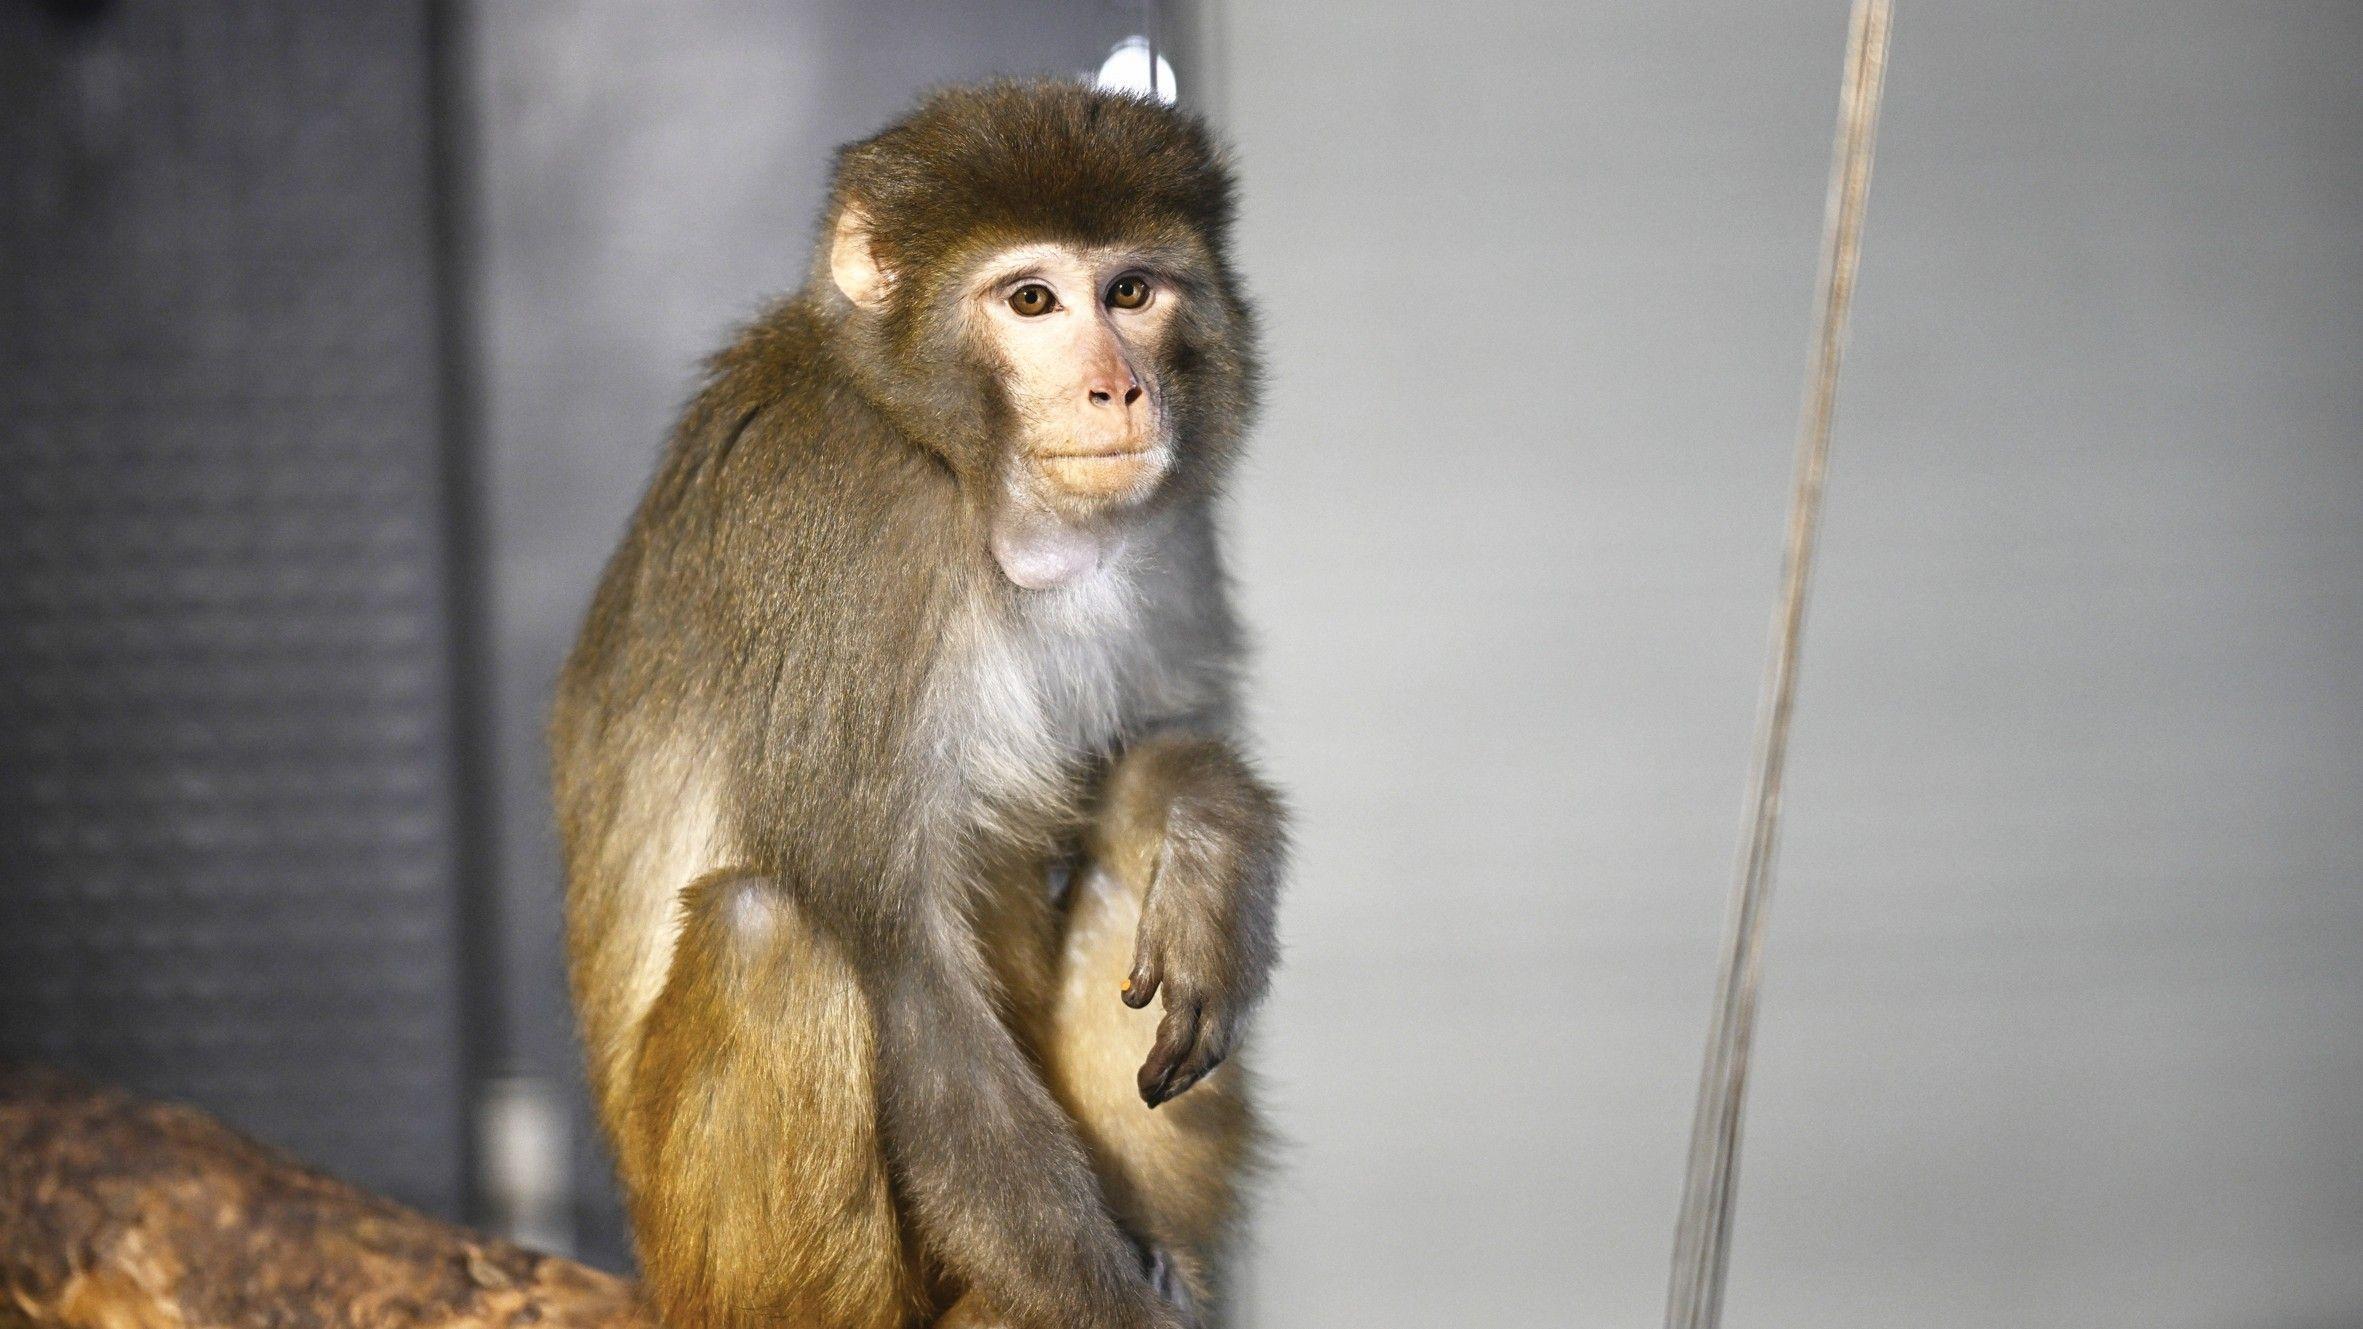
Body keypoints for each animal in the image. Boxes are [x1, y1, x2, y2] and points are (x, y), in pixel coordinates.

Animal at [550, 82, 1284, 1329]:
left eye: (1130, 292)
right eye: (1031, 300)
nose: (1118, 388)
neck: (962, 474)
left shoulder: (1168, 536)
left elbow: (1152, 749)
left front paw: (1210, 827)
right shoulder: (847, 530)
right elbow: (900, 966)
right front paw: (1110, 1308)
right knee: (767, 933)